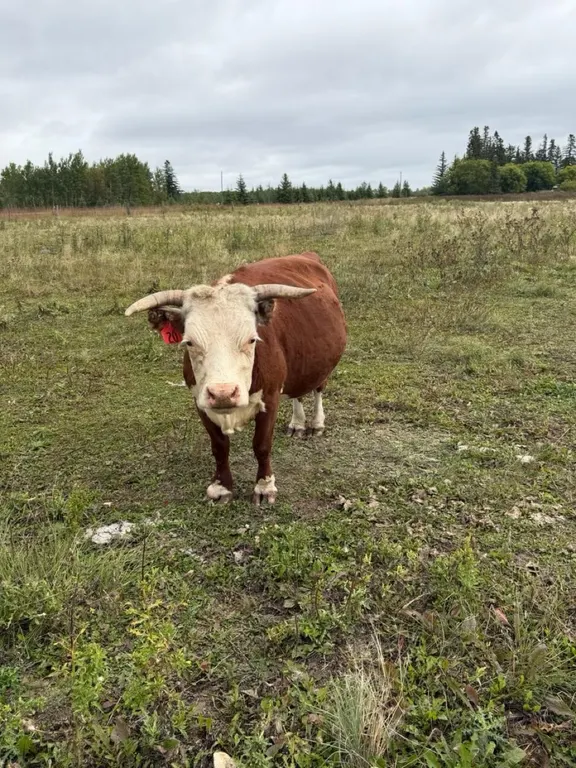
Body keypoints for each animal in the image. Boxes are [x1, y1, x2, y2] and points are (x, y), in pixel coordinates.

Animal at [124, 251, 347, 505]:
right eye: (189, 342)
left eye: (252, 339)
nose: (223, 393)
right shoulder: (200, 401)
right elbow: (219, 446)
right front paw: (221, 487)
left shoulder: (270, 397)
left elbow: (261, 445)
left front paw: (264, 486)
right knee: (297, 392)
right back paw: (297, 424)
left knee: (318, 388)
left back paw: (316, 423)